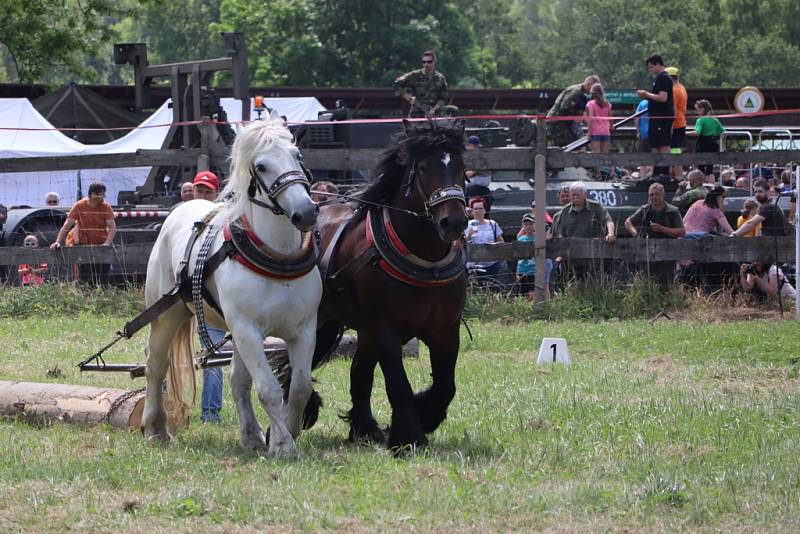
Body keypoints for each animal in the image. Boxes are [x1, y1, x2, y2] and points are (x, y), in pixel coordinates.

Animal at [141, 115, 322, 458]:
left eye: (297, 155)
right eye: (261, 166)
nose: (306, 212)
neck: (278, 258)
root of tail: (178, 210)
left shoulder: (303, 330)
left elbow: (299, 388)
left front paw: (283, 434)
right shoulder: (247, 328)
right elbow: (269, 389)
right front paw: (283, 446)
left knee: (239, 380)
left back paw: (250, 435)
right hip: (167, 314)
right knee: (156, 365)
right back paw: (154, 428)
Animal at [304, 121, 472, 452]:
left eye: (461, 166)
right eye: (423, 167)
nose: (454, 222)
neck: (424, 260)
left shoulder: (446, 330)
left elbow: (446, 385)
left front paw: (425, 414)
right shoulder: (385, 329)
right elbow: (398, 384)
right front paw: (408, 436)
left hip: (360, 330)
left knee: (359, 373)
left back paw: (364, 428)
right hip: (320, 320)